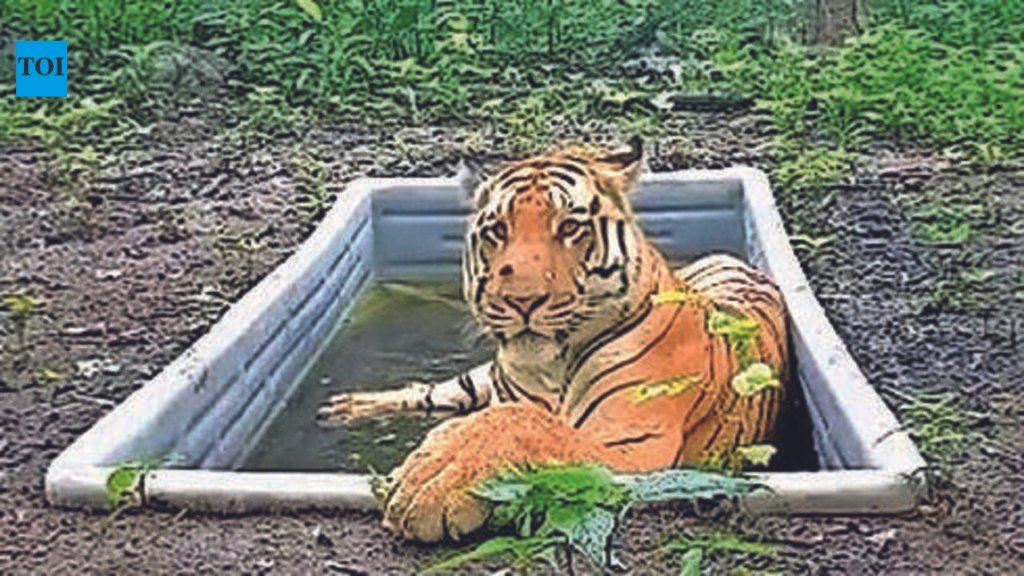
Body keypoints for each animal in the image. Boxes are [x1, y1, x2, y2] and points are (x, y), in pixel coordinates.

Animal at [318, 138, 788, 542]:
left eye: (569, 227)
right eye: (497, 231)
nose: (521, 299)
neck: (550, 369)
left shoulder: (634, 448)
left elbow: (524, 423)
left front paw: (432, 482)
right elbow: (496, 415)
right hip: (475, 379)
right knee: (436, 391)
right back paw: (348, 407)